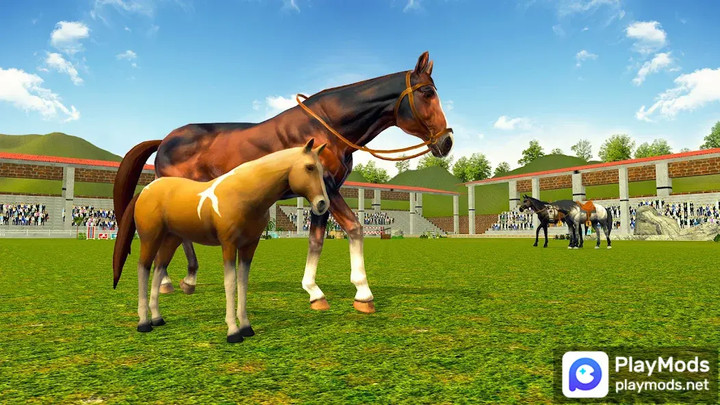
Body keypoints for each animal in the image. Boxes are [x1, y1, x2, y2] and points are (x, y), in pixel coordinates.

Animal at [113, 51, 453, 314]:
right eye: (427, 93)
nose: (446, 142)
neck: (326, 128)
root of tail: (165, 140)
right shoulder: (329, 188)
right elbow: (354, 227)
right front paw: (360, 294)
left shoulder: (323, 194)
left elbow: (318, 240)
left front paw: (319, 293)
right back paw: (173, 282)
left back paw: (185, 281)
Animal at [113, 140, 329, 343]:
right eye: (309, 167)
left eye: (321, 169)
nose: (322, 204)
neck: (245, 194)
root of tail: (145, 191)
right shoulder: (229, 245)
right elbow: (230, 283)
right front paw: (233, 332)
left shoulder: (249, 247)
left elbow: (243, 283)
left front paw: (246, 327)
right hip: (150, 239)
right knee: (143, 269)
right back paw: (144, 323)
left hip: (170, 241)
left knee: (158, 270)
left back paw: (157, 318)